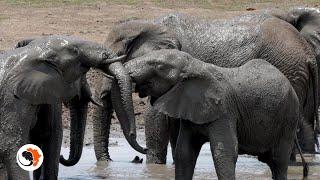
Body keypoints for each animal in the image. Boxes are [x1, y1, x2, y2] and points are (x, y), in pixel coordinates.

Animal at [0, 35, 144, 180]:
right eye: (75, 51)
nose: (133, 134)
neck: (30, 52)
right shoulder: (13, 100)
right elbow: (13, 145)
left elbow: (47, 137)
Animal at [93, 11, 320, 163]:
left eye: (116, 58)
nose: (107, 161)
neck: (146, 26)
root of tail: (307, 52)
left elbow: (156, 116)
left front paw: (154, 166)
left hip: (287, 71)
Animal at [123, 49, 308, 180]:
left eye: (159, 67)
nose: (144, 149)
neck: (195, 65)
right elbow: (184, 153)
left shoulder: (225, 110)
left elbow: (224, 152)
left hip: (289, 118)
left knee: (279, 162)